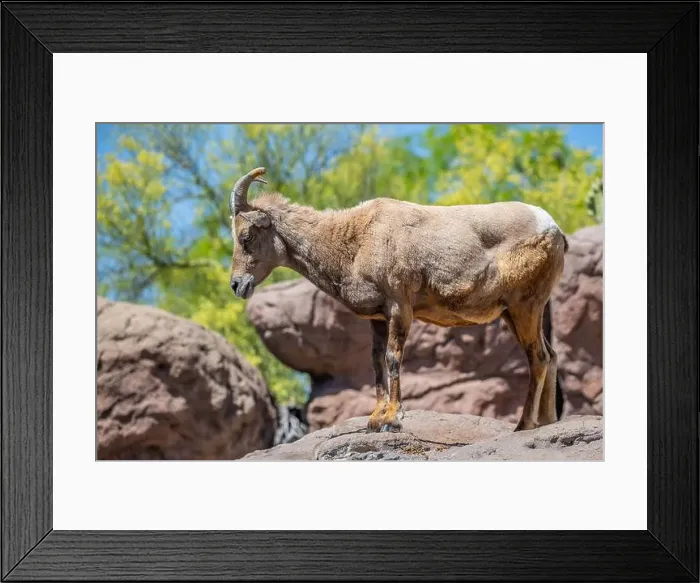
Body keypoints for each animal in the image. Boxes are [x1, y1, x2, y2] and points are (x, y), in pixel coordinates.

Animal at [229, 167, 568, 433]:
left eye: (246, 237)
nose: (236, 284)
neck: (358, 240)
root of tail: (554, 230)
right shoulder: (378, 320)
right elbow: (377, 363)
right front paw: (375, 421)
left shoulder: (399, 309)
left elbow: (393, 358)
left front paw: (392, 420)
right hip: (517, 313)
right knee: (550, 356)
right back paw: (547, 422)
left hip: (525, 308)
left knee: (538, 358)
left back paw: (524, 425)